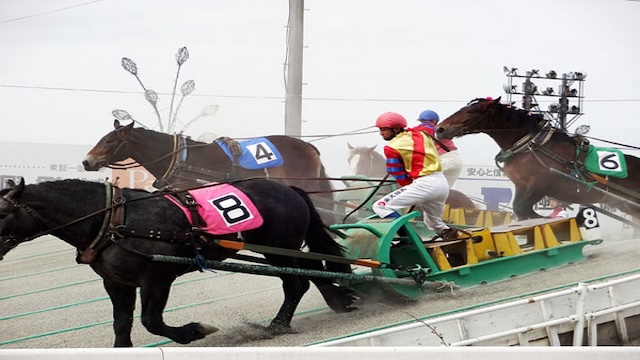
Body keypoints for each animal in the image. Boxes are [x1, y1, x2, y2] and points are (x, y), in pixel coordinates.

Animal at [0, 179, 356, 348]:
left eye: (3, 211)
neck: (116, 221)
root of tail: (289, 188)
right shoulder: (116, 282)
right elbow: (122, 323)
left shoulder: (157, 278)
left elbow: (152, 322)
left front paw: (193, 331)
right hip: (286, 249)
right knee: (313, 274)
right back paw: (340, 301)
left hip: (280, 248)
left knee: (297, 282)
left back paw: (278, 325)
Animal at [436, 98, 640, 221]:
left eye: (473, 111)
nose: (441, 129)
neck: (530, 145)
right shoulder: (522, 185)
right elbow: (519, 209)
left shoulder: (542, 184)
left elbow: (524, 208)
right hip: (626, 204)